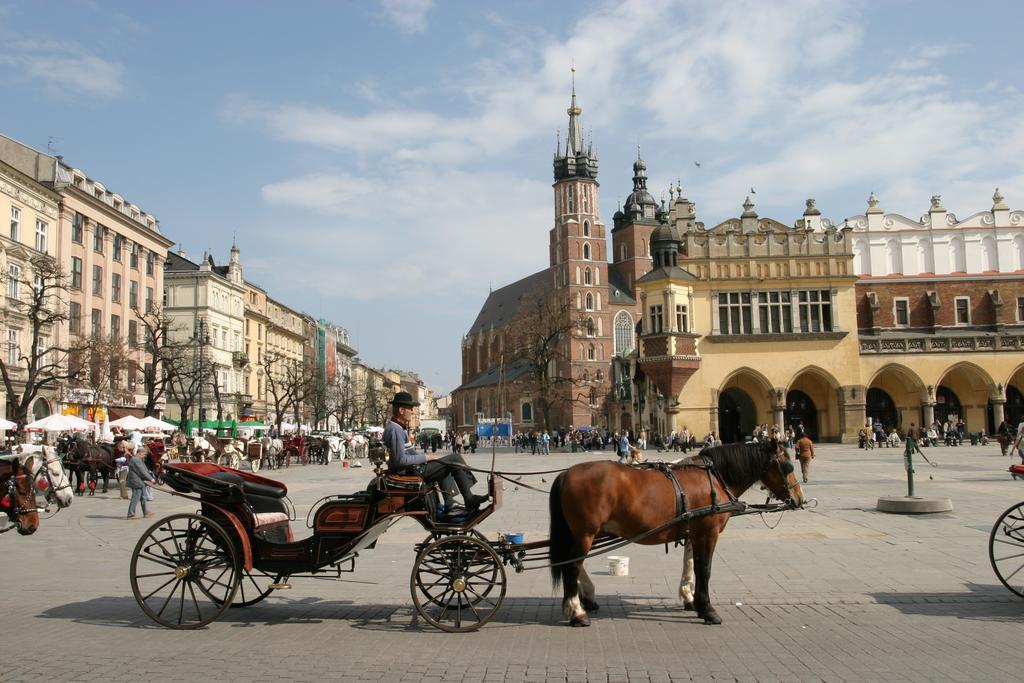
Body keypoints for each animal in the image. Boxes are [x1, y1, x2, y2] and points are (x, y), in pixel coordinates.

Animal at [548, 440, 802, 626]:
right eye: (788, 467)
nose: (799, 498)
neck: (714, 477)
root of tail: (567, 473)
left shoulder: (695, 532)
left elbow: (691, 565)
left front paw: (692, 599)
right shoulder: (709, 533)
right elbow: (705, 570)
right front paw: (708, 609)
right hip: (585, 533)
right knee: (572, 566)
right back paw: (577, 612)